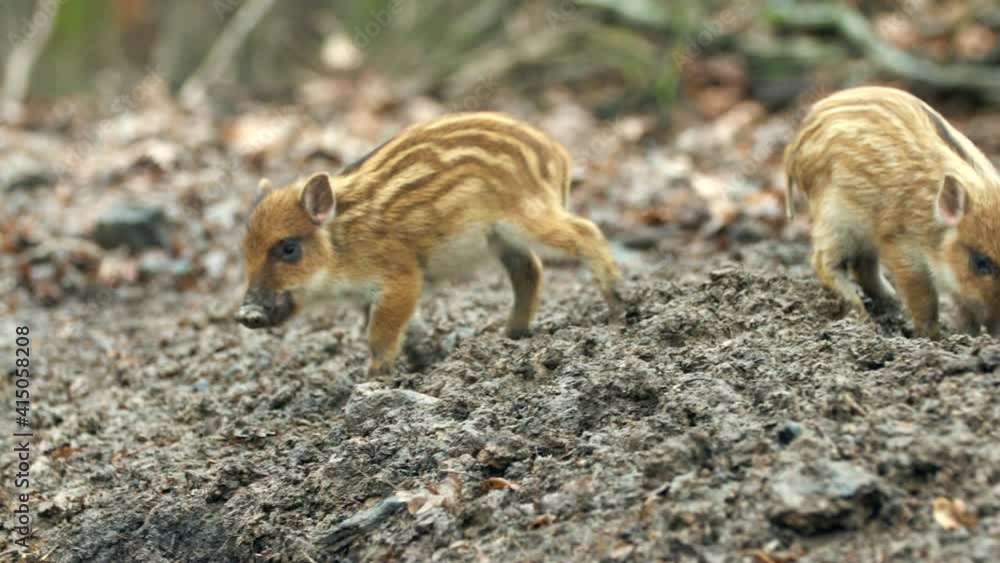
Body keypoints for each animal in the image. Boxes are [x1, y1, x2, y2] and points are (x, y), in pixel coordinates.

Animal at [235, 112, 624, 375]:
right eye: (245, 251)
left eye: (288, 248)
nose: (245, 313)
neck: (342, 245)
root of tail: (558, 155)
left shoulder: (401, 277)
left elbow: (378, 333)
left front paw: (373, 381)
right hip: (502, 238)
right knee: (529, 270)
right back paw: (510, 334)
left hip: (529, 216)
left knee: (585, 231)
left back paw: (618, 307)